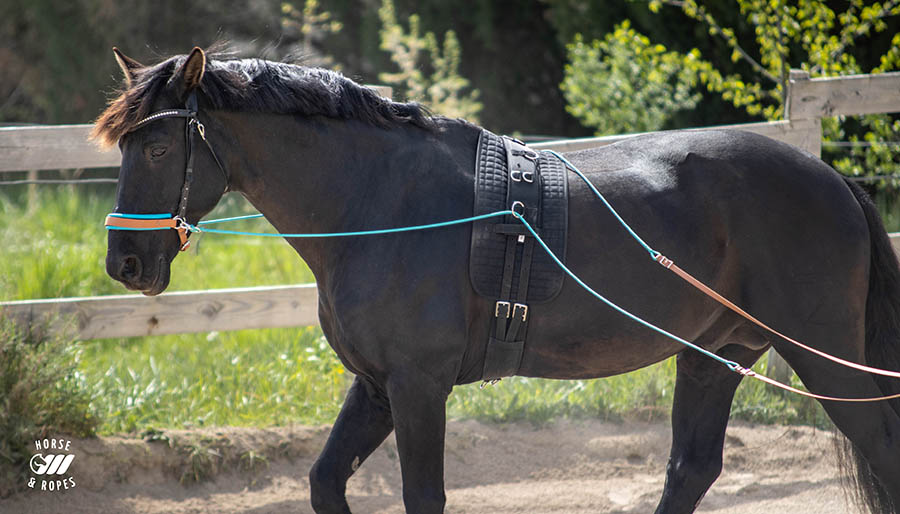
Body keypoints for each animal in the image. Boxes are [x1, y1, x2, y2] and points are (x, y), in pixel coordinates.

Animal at [94, 47, 900, 514]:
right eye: (123, 145)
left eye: (159, 145)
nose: (124, 264)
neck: (380, 201)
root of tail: (834, 179)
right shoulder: (377, 386)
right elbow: (325, 482)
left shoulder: (419, 386)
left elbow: (423, 496)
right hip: (716, 356)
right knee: (690, 469)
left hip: (826, 361)